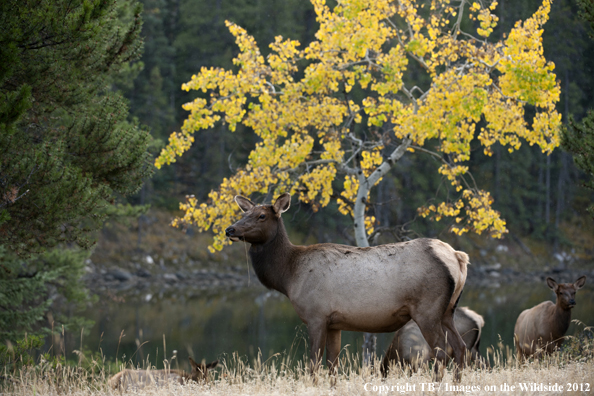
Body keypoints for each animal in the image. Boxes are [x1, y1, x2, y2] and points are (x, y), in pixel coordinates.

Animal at [224, 193, 470, 378]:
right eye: (243, 213)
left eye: (262, 215)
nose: (230, 229)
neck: (288, 275)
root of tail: (457, 256)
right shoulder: (335, 323)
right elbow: (333, 365)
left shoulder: (316, 315)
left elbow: (313, 364)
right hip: (448, 310)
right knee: (460, 347)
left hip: (427, 309)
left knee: (441, 351)